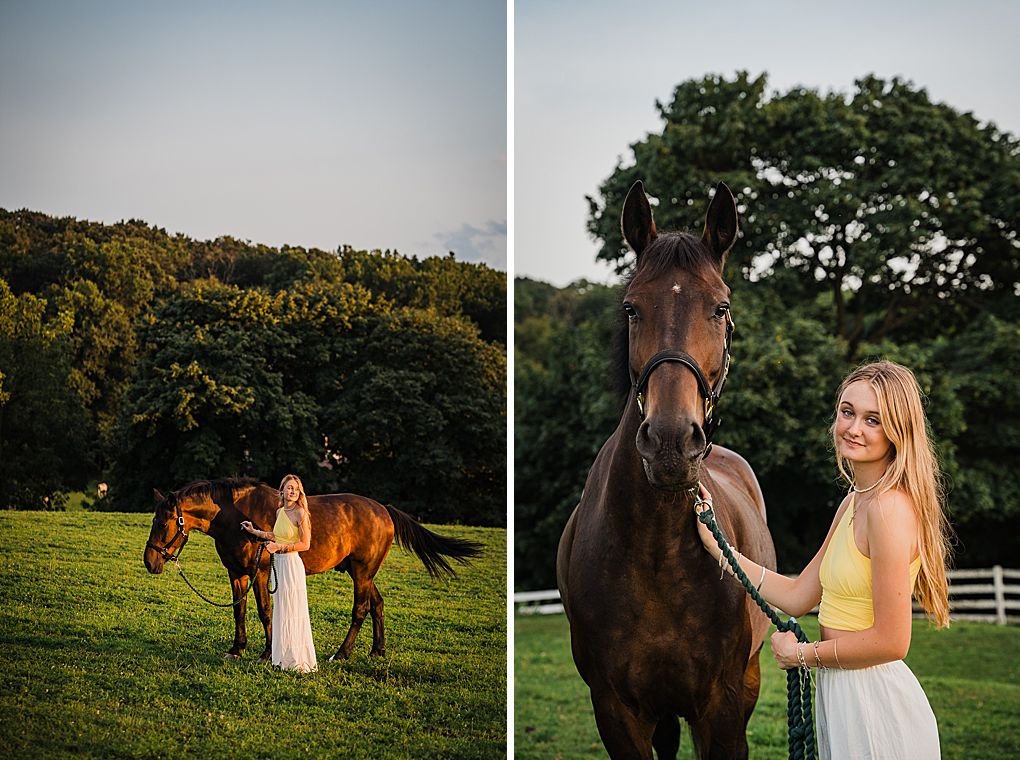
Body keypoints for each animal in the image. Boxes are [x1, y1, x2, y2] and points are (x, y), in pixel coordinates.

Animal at [143, 477, 481, 661]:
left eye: (161, 522)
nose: (150, 562)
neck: (234, 515)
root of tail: (383, 509)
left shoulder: (261, 573)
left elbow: (265, 612)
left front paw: (267, 653)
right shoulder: (236, 573)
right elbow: (238, 611)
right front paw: (237, 649)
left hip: (362, 573)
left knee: (361, 609)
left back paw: (342, 653)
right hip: (363, 573)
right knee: (378, 605)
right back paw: (377, 651)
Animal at [558, 180, 771, 754]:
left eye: (721, 308)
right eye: (632, 309)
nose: (672, 443)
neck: (657, 554)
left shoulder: (723, 705)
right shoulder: (616, 710)